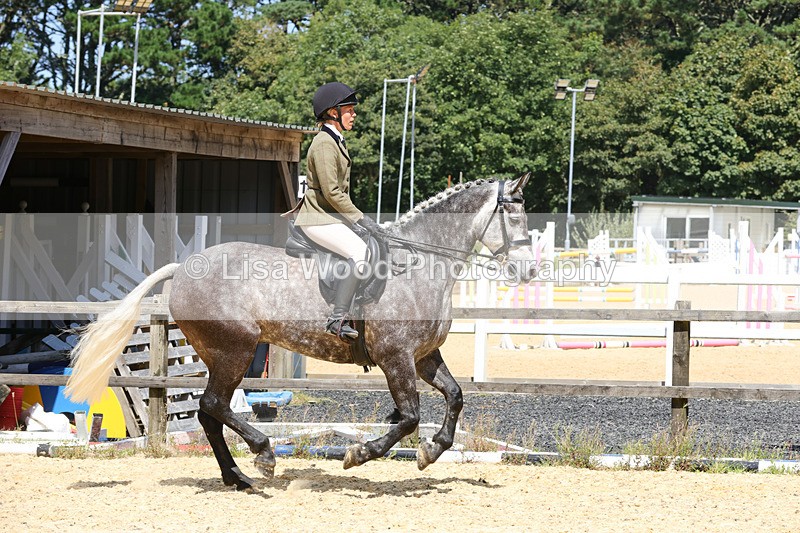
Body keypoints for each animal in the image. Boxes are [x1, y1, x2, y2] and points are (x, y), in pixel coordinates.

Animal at [65, 173, 536, 490]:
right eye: (512, 215)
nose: (528, 272)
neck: (419, 265)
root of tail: (183, 268)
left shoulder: (422, 357)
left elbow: (455, 397)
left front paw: (431, 451)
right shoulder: (396, 357)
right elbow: (408, 417)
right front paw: (358, 455)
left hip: (223, 354)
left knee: (209, 411)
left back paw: (237, 476)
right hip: (235, 349)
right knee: (215, 404)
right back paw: (262, 455)